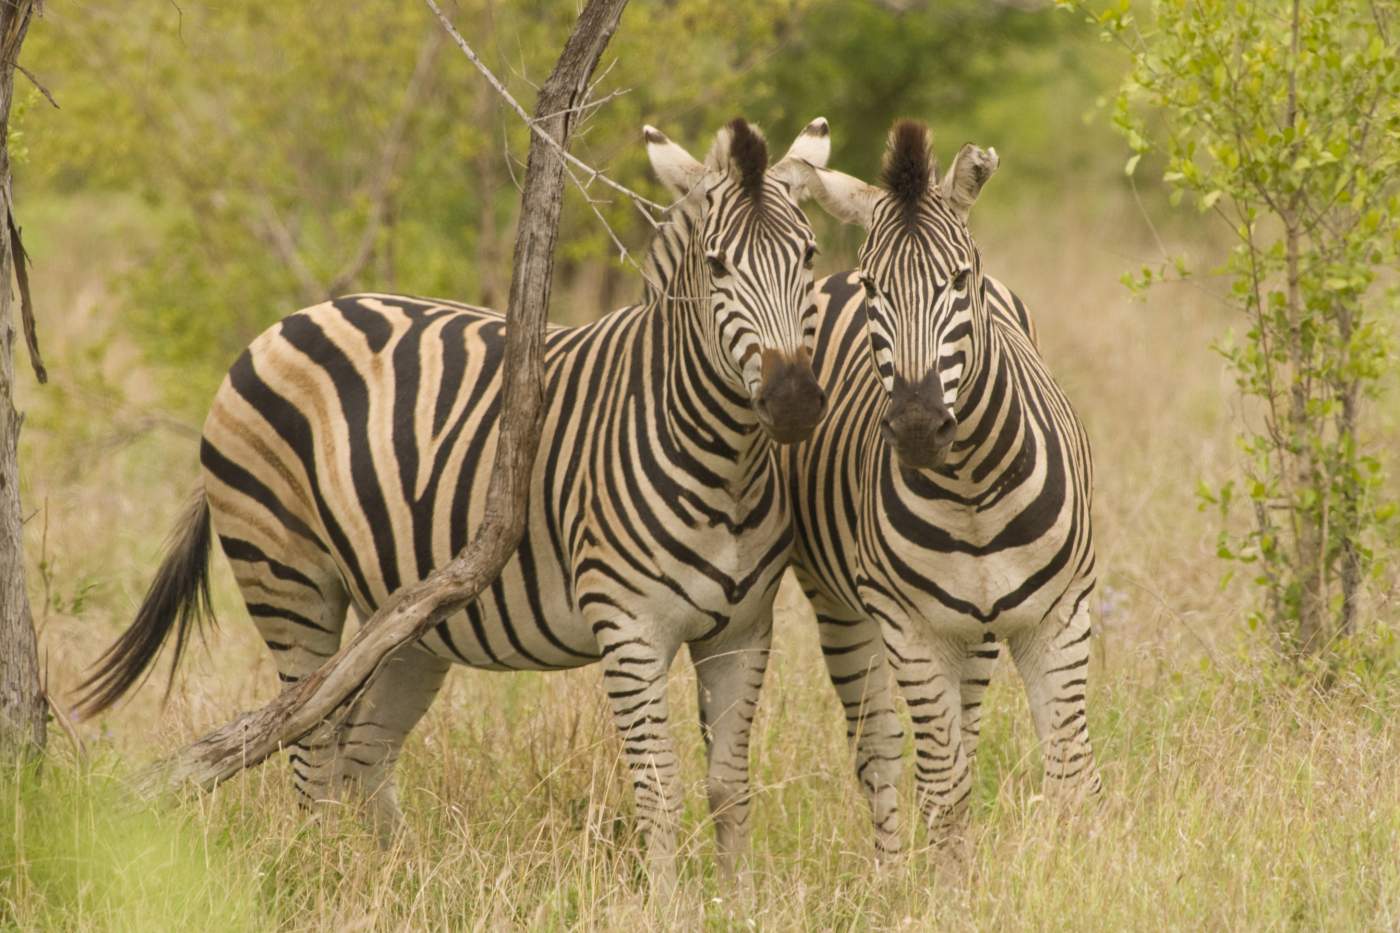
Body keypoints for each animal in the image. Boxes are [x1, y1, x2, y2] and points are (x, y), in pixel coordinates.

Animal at [79, 116, 828, 885]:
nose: (795, 402)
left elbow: (728, 789)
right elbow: (661, 792)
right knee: (307, 744)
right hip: (289, 578)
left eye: (810, 255)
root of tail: (289, 320)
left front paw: (735, 900)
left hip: (406, 618)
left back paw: (393, 878)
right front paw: (667, 902)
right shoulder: (630, 630)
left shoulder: (743, 631)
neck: (725, 465)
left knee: (362, 750)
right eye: (717, 265)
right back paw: (322, 874)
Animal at [789, 121, 1103, 857]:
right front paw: (951, 879)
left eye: (960, 280)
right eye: (876, 287)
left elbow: (1073, 780)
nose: (916, 425)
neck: (972, 489)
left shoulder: (1062, 616)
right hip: (842, 609)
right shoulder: (909, 629)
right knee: (878, 751)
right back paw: (890, 869)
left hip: (976, 633)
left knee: (967, 726)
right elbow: (943, 790)